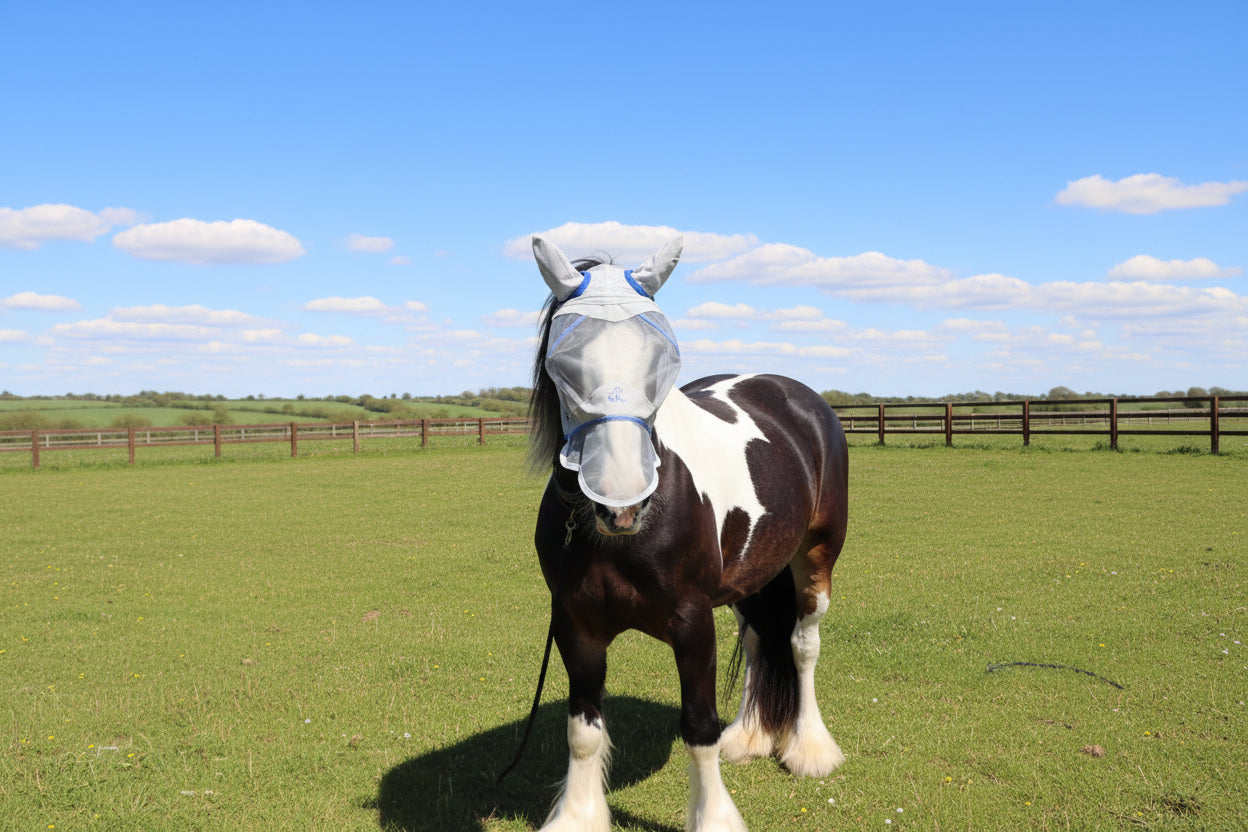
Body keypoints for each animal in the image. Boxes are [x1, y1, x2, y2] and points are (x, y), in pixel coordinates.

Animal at [524, 235, 849, 832]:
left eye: (664, 356)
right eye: (562, 361)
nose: (623, 502)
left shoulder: (693, 623)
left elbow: (699, 727)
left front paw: (714, 816)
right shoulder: (576, 625)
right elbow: (583, 733)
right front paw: (578, 816)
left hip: (816, 557)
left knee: (802, 644)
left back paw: (810, 748)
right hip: (751, 576)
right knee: (759, 638)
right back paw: (750, 737)